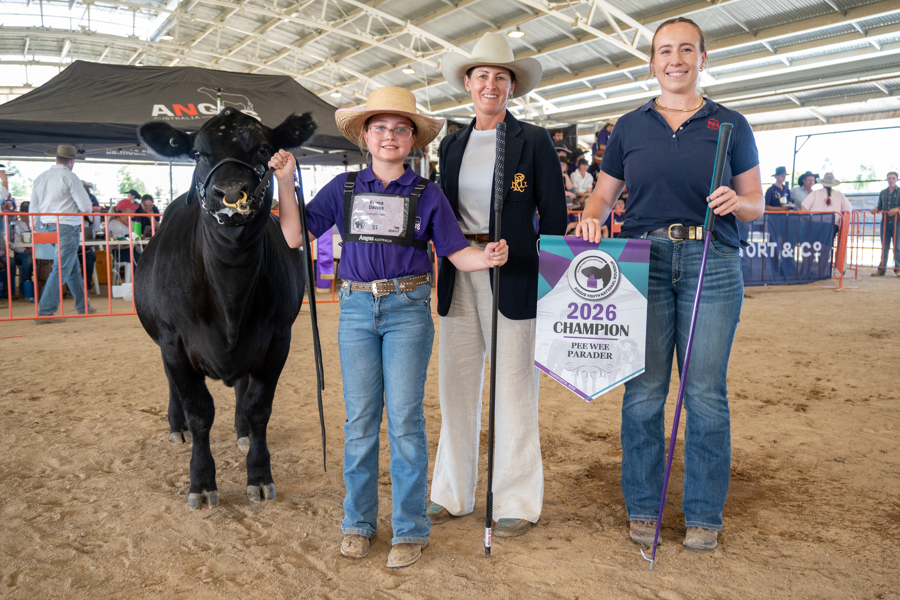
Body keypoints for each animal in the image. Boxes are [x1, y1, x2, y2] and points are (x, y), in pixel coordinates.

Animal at [135, 108, 316, 510]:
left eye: (264, 148)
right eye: (198, 153)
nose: (231, 194)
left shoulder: (278, 338)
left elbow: (258, 407)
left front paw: (260, 476)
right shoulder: (174, 342)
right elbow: (199, 411)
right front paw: (201, 482)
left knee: (242, 390)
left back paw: (242, 432)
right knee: (173, 385)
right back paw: (177, 428)